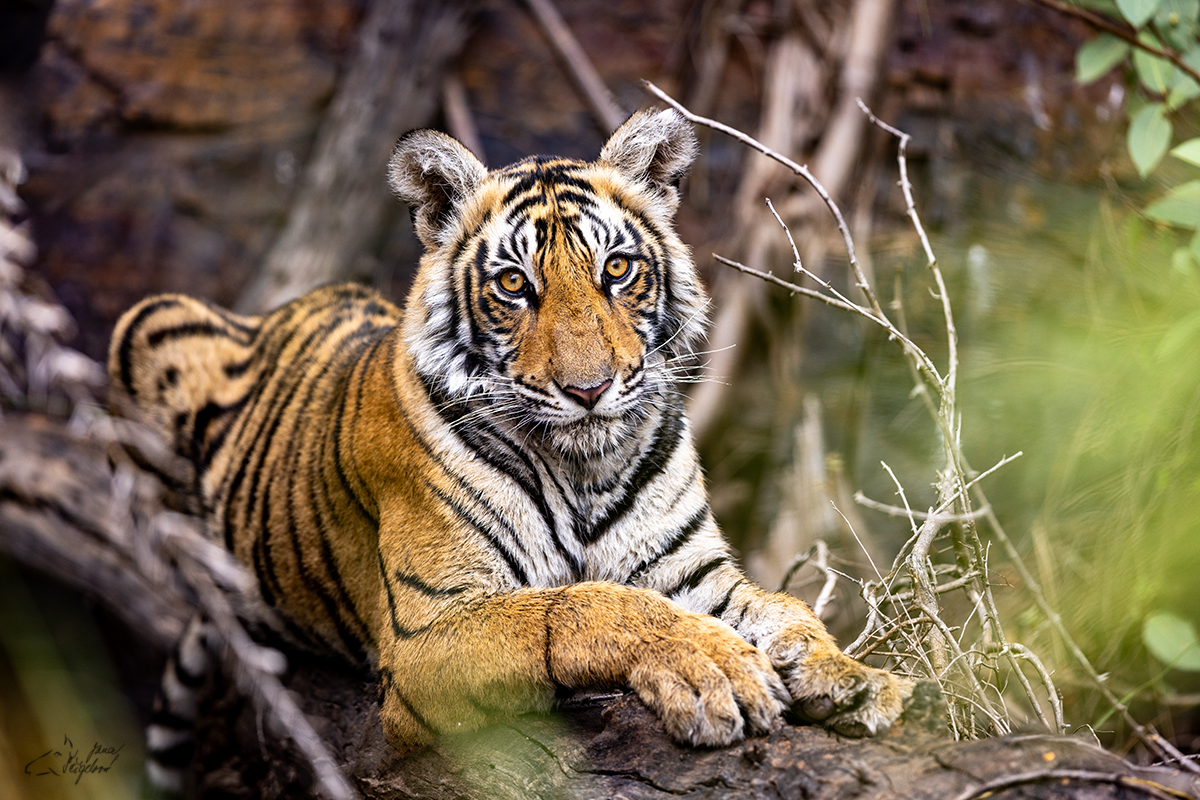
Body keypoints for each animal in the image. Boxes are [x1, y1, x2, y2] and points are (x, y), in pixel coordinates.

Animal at [112, 107, 912, 786]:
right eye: (513, 284)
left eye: (616, 269)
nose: (590, 389)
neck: (586, 468)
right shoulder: (428, 632)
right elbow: (586, 605)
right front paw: (712, 670)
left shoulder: (695, 574)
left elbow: (788, 610)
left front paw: (854, 680)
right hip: (147, 321)